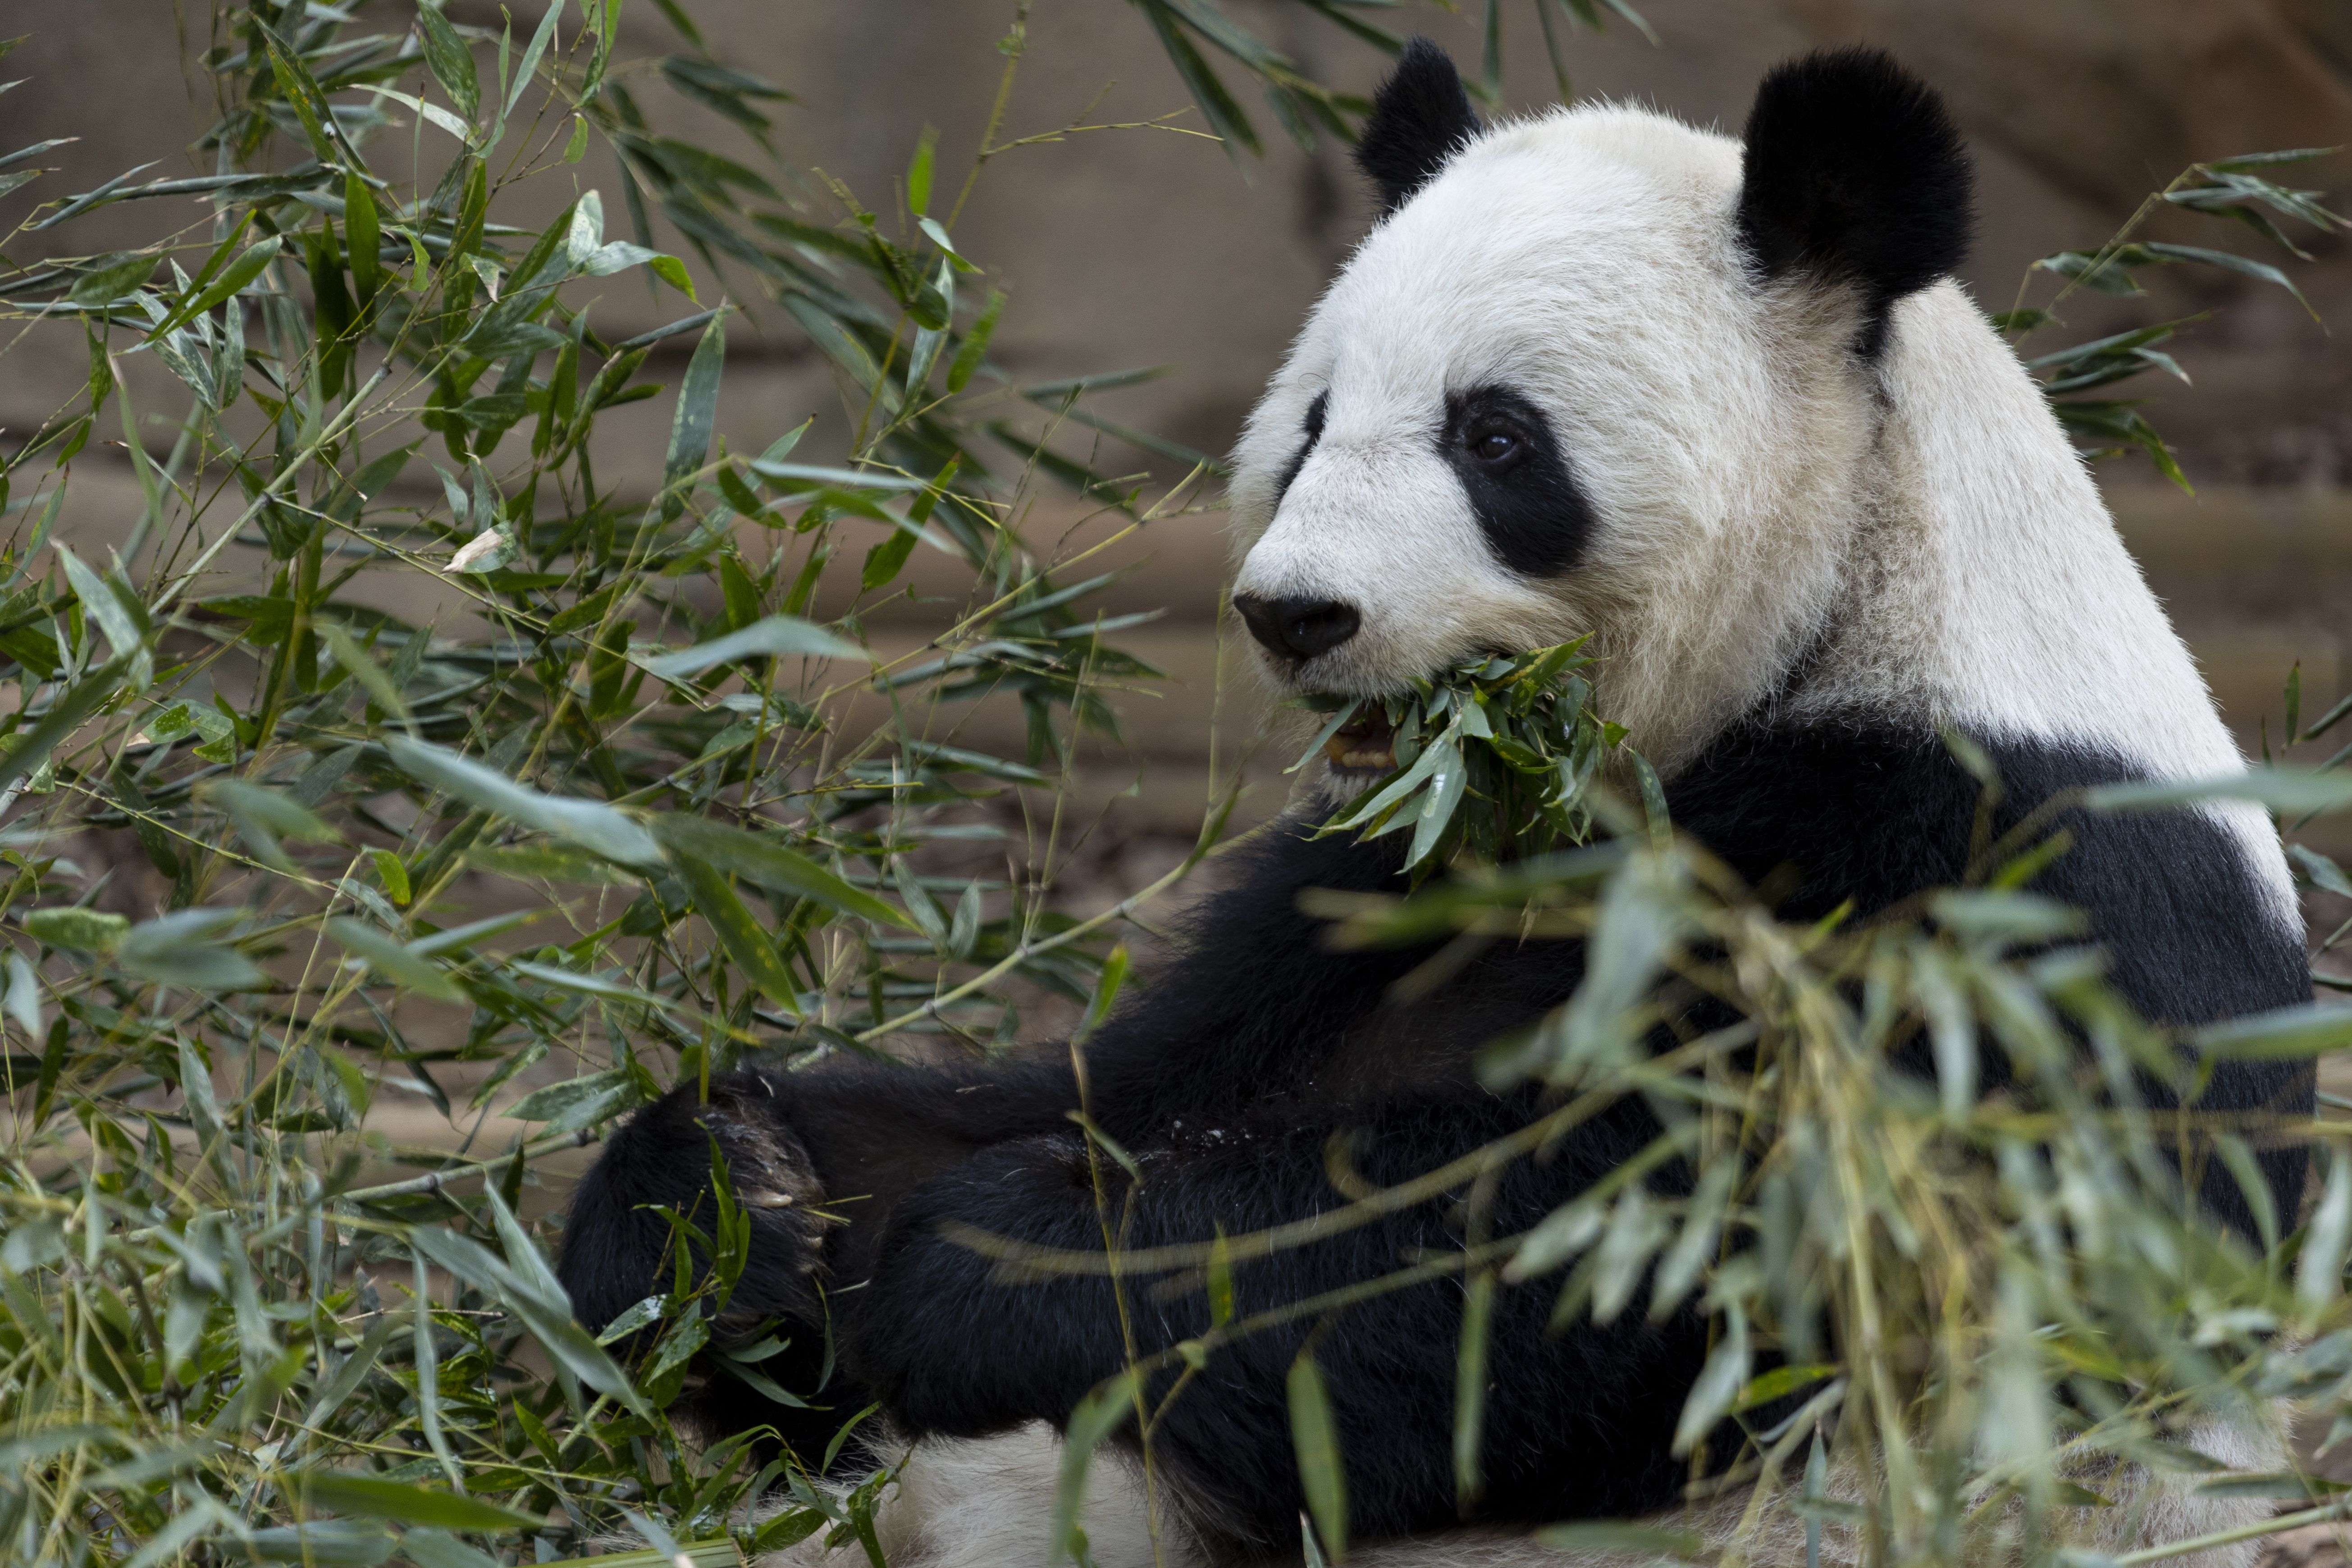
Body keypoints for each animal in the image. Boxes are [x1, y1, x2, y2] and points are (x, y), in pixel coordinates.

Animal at [555, 41, 2313, 1568]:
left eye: (1494, 437)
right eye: (1312, 423)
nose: (1293, 614)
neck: (1838, 620)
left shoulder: (1988, 894)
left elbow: (1598, 1271)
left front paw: (995, 1257)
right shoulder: (1368, 890)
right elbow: (1104, 1087)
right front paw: (727, 1205)